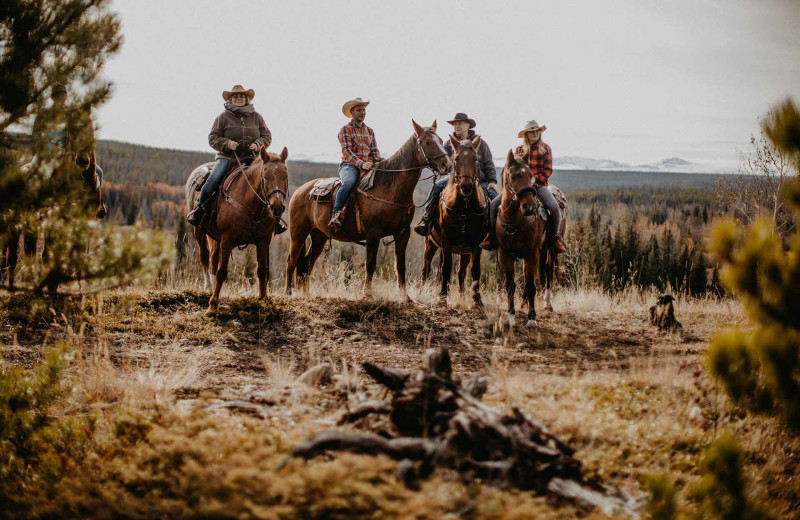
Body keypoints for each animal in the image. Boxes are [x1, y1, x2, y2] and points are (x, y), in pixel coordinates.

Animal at [3, 152, 104, 294]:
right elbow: (49, 255)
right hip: (16, 225)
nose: (82, 161)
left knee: (30, 252)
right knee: (12, 255)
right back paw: (11, 289)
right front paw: (52, 287)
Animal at [186, 144, 290, 310]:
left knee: (213, 259)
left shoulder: (263, 241)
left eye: (285, 177)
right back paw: (208, 287)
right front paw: (213, 304)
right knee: (204, 257)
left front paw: (263, 298)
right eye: (265, 177)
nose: (277, 207)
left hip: (215, 237)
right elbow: (222, 272)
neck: (252, 207)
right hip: (200, 230)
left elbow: (262, 271)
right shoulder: (227, 240)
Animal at [286, 118, 450, 296]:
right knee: (291, 261)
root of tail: (299, 191)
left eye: (441, 141)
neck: (390, 189)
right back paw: (288, 293)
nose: (447, 164)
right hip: (298, 233)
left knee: (307, 263)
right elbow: (370, 265)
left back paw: (306, 295)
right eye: (427, 142)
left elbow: (400, 265)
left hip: (319, 235)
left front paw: (405, 297)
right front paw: (367, 294)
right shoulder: (373, 234)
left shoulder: (403, 233)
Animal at [422, 134, 490, 306]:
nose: (466, 186)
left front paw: (477, 300)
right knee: (426, 268)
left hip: (464, 252)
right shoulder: (446, 240)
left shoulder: (476, 243)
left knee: (461, 273)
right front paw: (442, 297)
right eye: (456, 158)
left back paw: (462, 297)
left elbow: (475, 270)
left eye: (475, 159)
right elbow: (446, 268)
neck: (464, 207)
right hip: (430, 243)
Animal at [494, 150, 552, 328]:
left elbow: (531, 285)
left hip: (549, 250)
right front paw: (511, 316)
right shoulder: (505, 255)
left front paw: (532, 318)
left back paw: (548, 303)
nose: (529, 207)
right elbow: (510, 286)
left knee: (548, 272)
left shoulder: (532, 254)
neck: (514, 221)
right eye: (513, 177)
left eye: (531, 177)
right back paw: (524, 303)